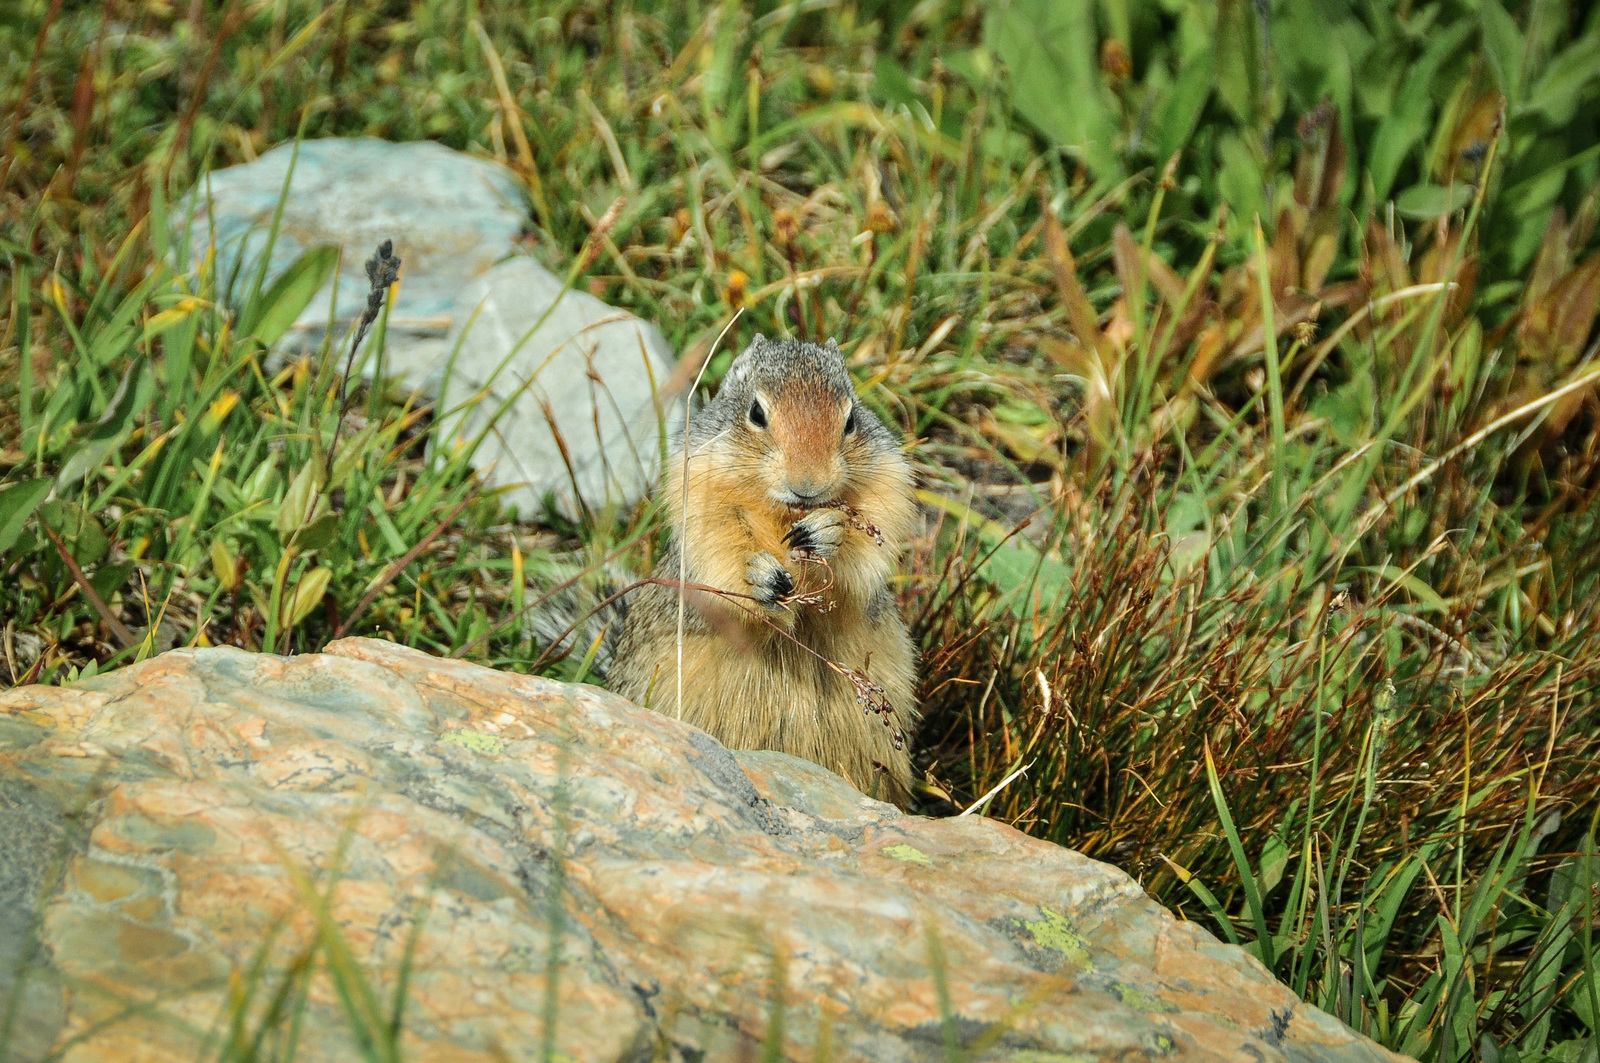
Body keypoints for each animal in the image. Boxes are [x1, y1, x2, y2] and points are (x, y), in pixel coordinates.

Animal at [611, 336, 920, 806]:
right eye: (757, 413)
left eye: (850, 419)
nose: (808, 483)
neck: (785, 511)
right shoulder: (698, 487)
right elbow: (720, 547)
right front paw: (763, 577)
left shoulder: (887, 481)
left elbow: (870, 539)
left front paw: (826, 530)